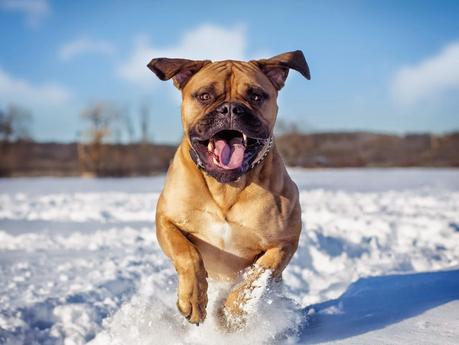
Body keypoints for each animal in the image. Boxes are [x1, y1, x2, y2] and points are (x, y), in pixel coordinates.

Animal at [149, 50, 310, 326]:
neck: (226, 187)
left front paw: (234, 312)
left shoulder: (284, 241)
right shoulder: (167, 220)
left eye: (256, 96)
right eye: (205, 96)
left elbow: (259, 274)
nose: (231, 109)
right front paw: (193, 300)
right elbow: (187, 254)